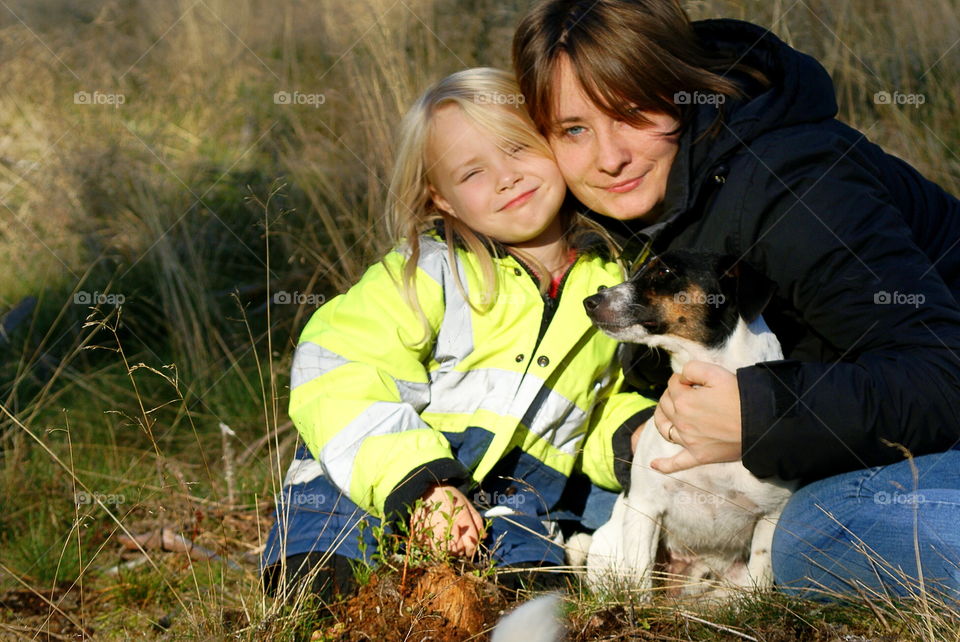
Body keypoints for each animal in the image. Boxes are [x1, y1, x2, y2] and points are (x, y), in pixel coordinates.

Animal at [576, 249, 796, 596]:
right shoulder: (645, 506)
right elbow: (640, 576)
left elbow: (760, 573)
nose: (589, 301)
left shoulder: (772, 515)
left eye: (665, 271)